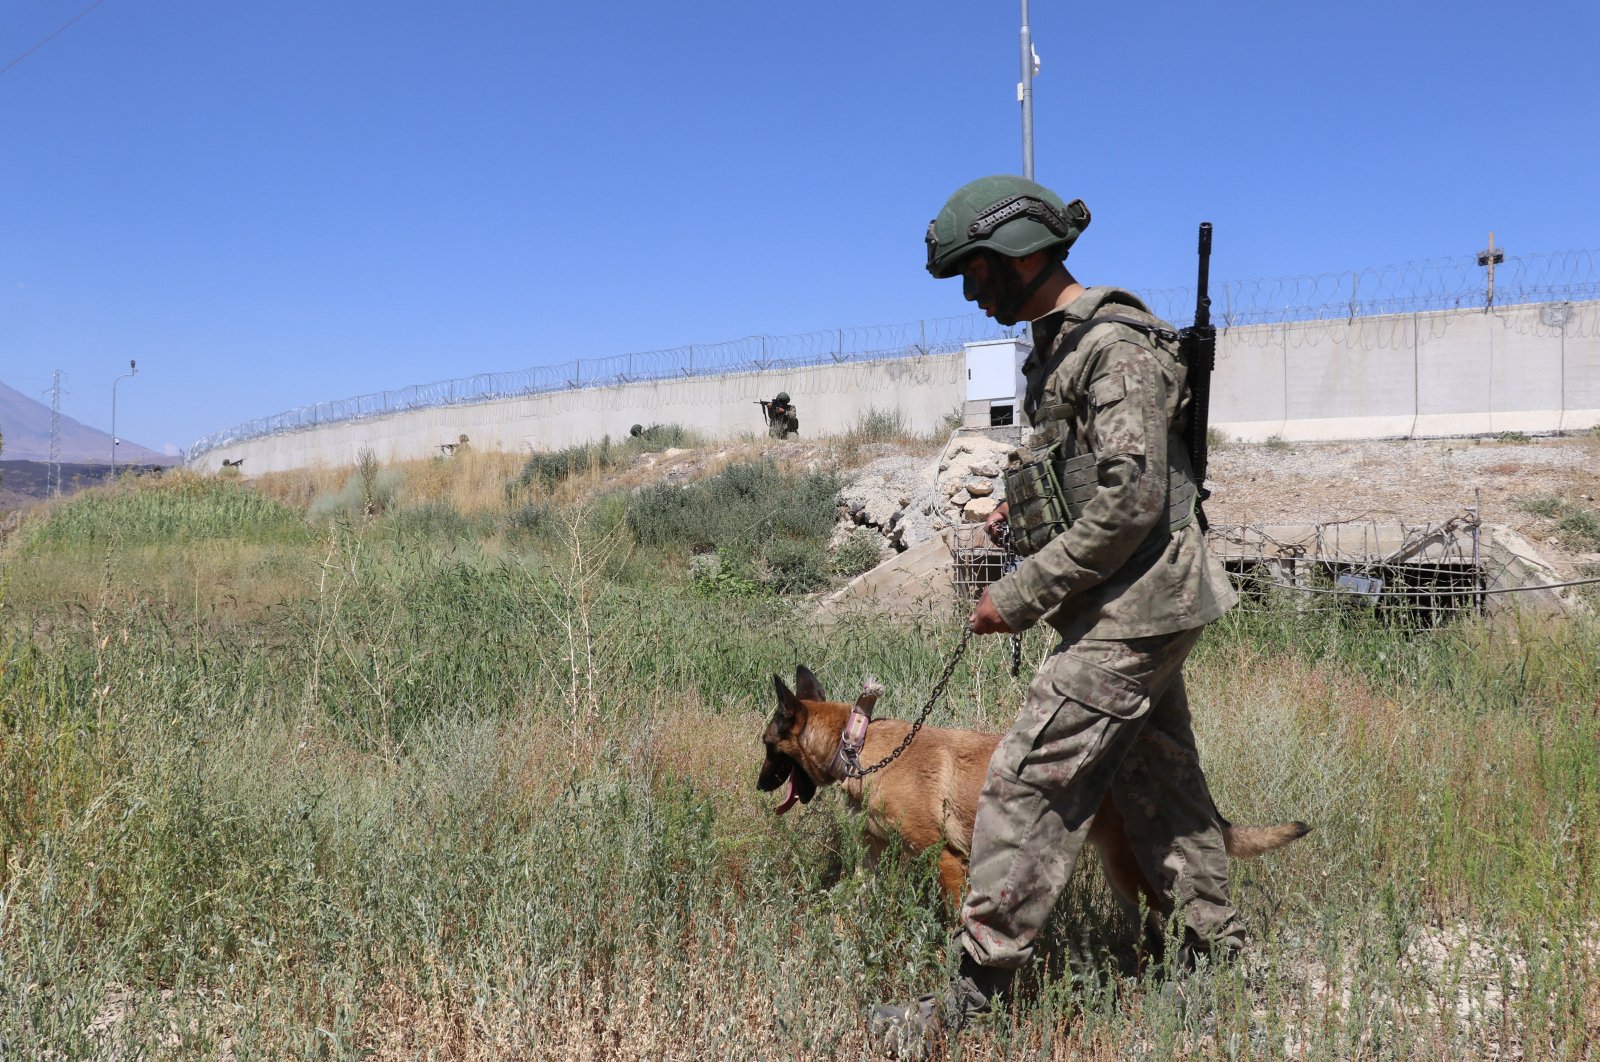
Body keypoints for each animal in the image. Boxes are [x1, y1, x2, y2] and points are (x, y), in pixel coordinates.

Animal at [755, 668, 1305, 914]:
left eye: (767, 747)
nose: (758, 786)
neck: (861, 744)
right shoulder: (874, 853)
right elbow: (847, 894)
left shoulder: (948, 859)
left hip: (1126, 865)